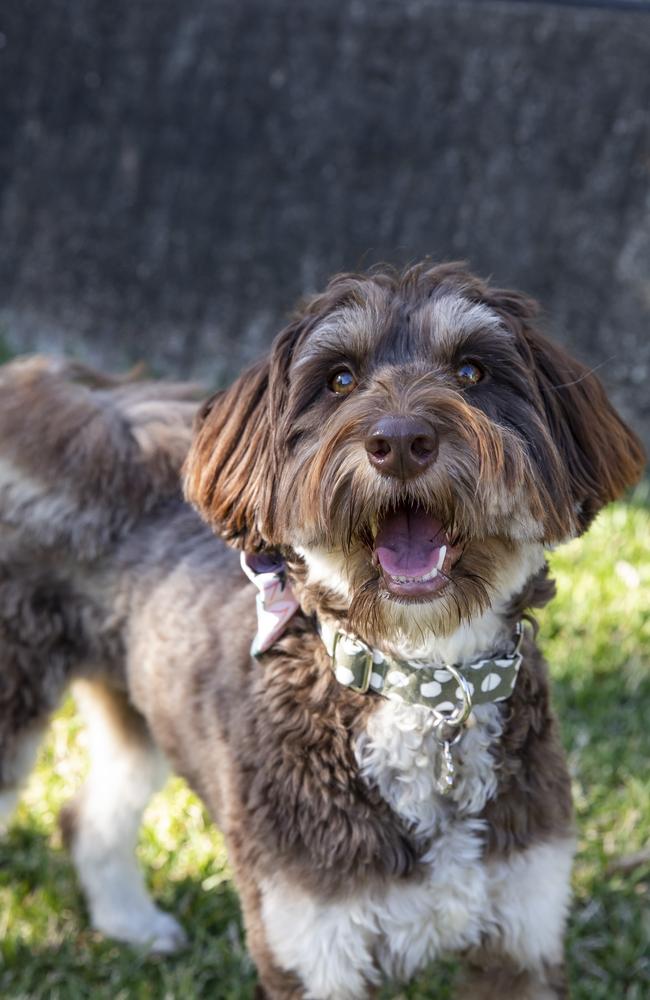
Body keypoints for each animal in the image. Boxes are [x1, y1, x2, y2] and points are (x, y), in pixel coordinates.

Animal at [0, 262, 644, 996]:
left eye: (472, 370)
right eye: (339, 379)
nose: (401, 443)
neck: (419, 682)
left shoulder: (523, 929)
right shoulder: (312, 942)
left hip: (143, 706)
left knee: (89, 814)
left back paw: (131, 922)